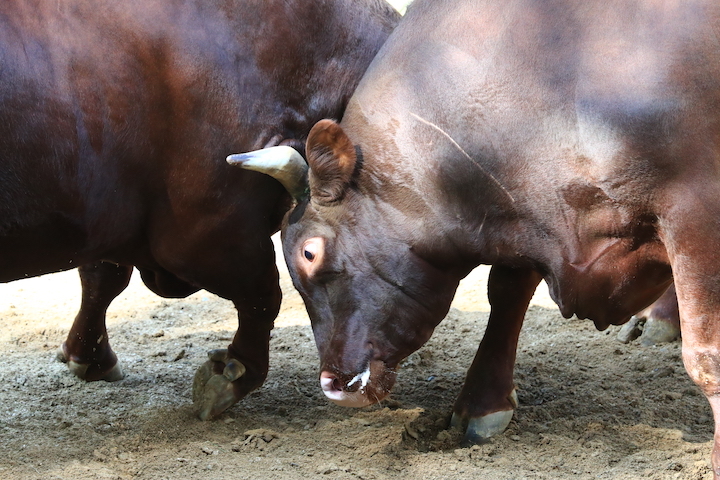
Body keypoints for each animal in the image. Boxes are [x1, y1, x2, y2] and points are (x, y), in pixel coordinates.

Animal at [0, 0, 400, 420]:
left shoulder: (111, 218)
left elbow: (102, 278)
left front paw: (88, 356)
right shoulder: (207, 230)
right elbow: (262, 292)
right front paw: (233, 373)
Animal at [232, 0, 720, 474]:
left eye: (310, 252)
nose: (332, 383)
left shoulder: (696, 210)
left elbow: (706, 354)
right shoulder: (521, 217)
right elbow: (505, 297)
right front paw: (482, 403)